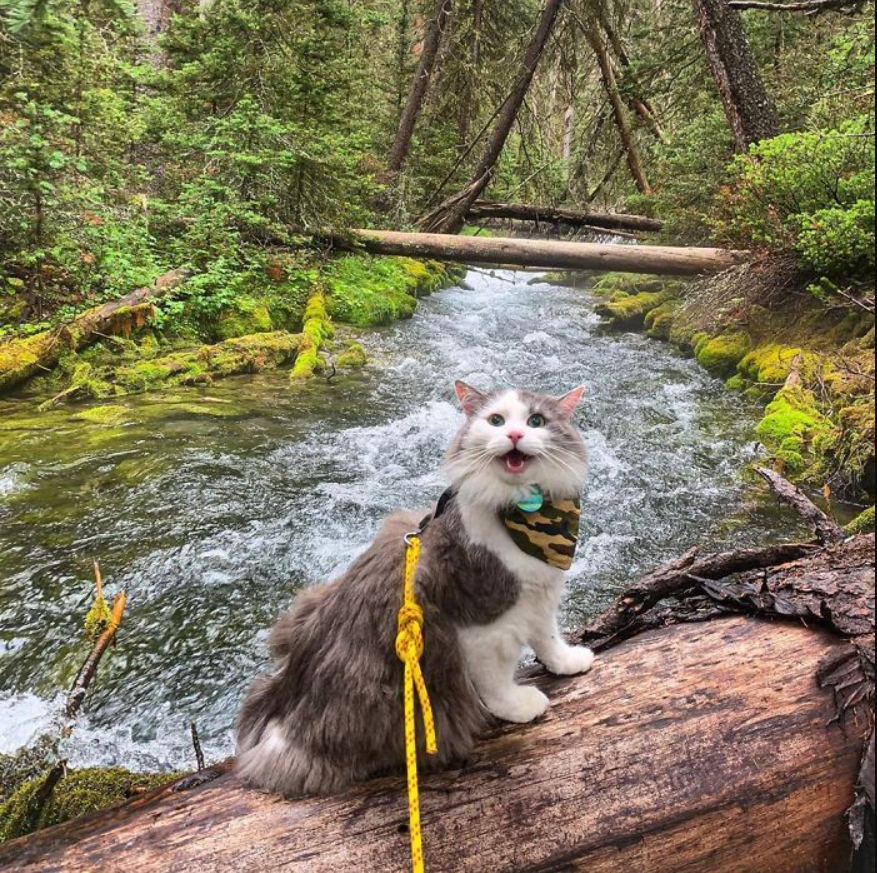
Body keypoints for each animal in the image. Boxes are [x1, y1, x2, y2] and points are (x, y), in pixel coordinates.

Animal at [233, 382, 592, 796]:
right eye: (496, 420)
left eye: (536, 421)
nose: (515, 435)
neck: (524, 517)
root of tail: (282, 710)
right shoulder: (482, 622)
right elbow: (496, 680)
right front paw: (519, 706)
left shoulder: (538, 595)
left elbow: (548, 639)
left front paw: (569, 662)